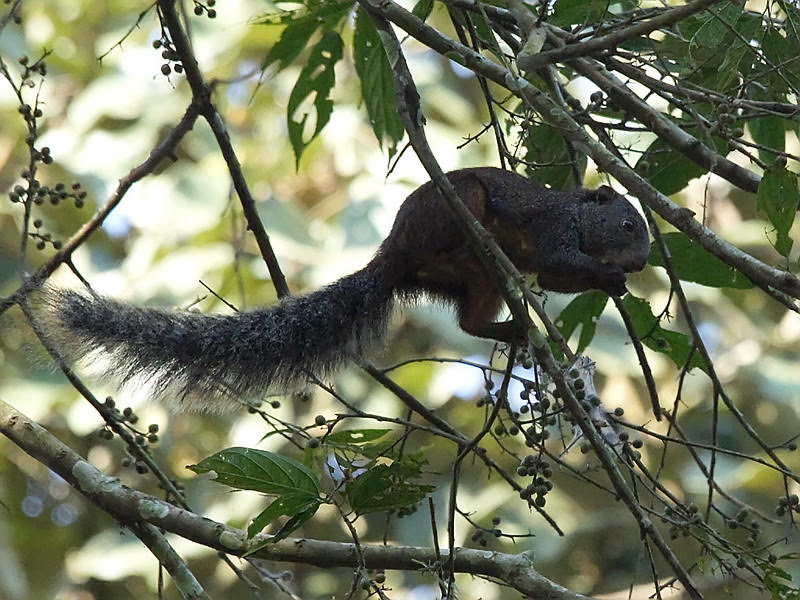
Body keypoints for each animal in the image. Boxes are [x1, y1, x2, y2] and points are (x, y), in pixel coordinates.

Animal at [40, 167, 650, 412]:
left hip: (473, 283)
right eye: (627, 225)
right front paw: (610, 277)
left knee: (470, 321)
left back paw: (514, 328)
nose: (644, 261)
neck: (578, 215)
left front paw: (614, 283)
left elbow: (553, 279)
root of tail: (394, 254)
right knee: (471, 226)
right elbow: (553, 267)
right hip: (450, 211)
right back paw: (480, 240)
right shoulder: (551, 231)